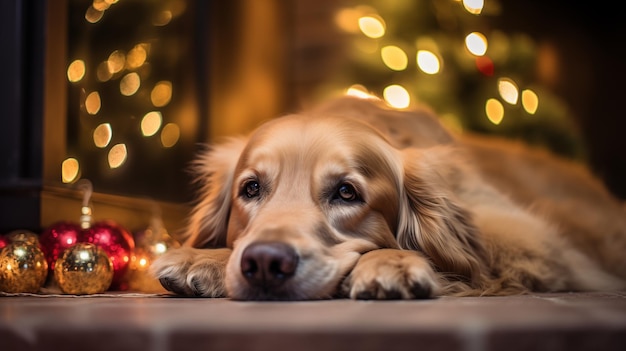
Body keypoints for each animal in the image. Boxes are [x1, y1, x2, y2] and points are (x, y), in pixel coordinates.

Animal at [151, 97, 624, 302]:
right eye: (251, 189)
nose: (267, 262)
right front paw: (201, 258)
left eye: (347, 192)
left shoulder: (532, 239)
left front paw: (390, 263)